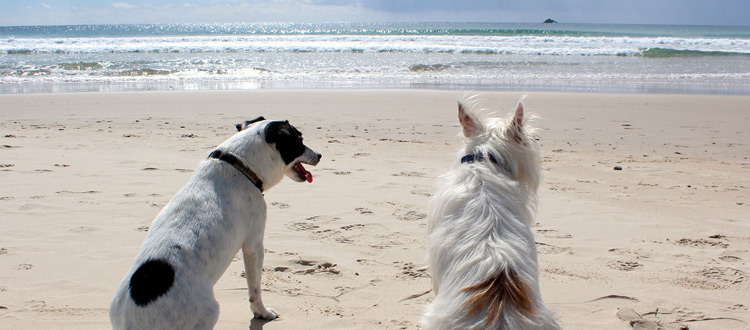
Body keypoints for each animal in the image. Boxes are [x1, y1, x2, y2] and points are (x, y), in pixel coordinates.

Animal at [110, 117, 322, 328]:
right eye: (299, 140)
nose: (320, 155)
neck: (240, 165)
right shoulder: (254, 246)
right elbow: (255, 288)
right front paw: (261, 313)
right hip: (209, 312)